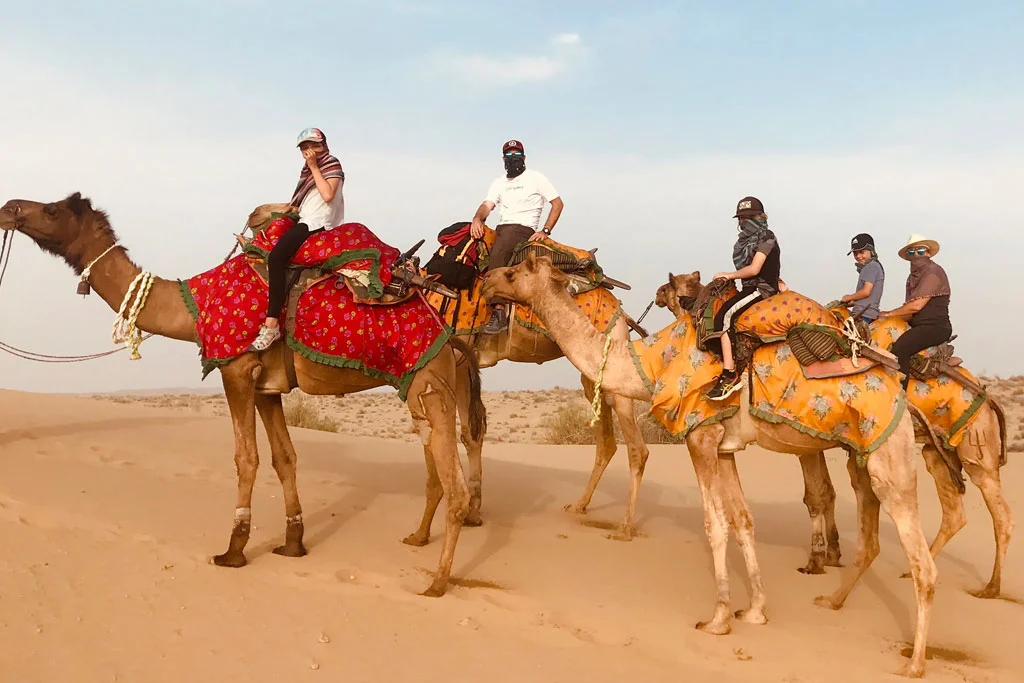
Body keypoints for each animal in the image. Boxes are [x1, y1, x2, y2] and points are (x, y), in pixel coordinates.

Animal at [0, 192, 487, 597]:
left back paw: (437, 582)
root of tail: (448, 336)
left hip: (428, 381)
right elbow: (284, 457)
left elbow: (245, 458)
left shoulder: (235, 369)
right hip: (422, 388)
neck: (195, 304)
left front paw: (233, 550)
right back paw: (418, 539)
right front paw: (293, 543)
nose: (9, 207)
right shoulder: (266, 385)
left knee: (456, 484)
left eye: (53, 210)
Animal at [243, 204, 651, 541]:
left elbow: (465, 431)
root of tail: (615, 300)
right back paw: (580, 506)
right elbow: (471, 432)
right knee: (607, 439)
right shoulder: (460, 362)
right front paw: (474, 510)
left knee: (636, 446)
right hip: (591, 369)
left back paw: (626, 526)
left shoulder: (453, 358)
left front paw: (467, 511)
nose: (251, 220)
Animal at [482, 254, 937, 678]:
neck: (650, 367)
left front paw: (718, 618)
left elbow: (714, 524)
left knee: (921, 562)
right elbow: (743, 520)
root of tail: (901, 393)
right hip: (866, 456)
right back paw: (835, 602)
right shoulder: (723, 448)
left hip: (888, 454)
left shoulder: (699, 437)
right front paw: (754, 610)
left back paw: (914, 663)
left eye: (515, 271)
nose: (486, 281)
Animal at [657, 271, 1012, 596]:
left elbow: (817, 495)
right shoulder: (814, 438)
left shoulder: (804, 437)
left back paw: (992, 587)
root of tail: (986, 397)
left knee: (1001, 515)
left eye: (671, 286)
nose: (663, 295)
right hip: (936, 451)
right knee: (954, 512)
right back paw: (912, 574)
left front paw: (817, 560)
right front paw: (832, 554)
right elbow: (825, 492)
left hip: (977, 445)